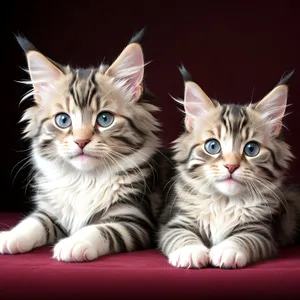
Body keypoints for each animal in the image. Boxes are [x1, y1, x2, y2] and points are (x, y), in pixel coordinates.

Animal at [0, 29, 164, 262]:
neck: (85, 179)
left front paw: (73, 243)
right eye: (63, 120)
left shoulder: (134, 220)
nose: (81, 141)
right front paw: (11, 236)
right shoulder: (52, 212)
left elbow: (100, 229)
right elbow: (33, 222)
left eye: (105, 119)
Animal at [158, 68, 298, 270]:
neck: (223, 202)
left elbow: (242, 238)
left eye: (251, 149)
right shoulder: (175, 222)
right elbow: (181, 236)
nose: (231, 166)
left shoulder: (261, 231)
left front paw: (226, 250)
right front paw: (190, 252)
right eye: (213, 146)